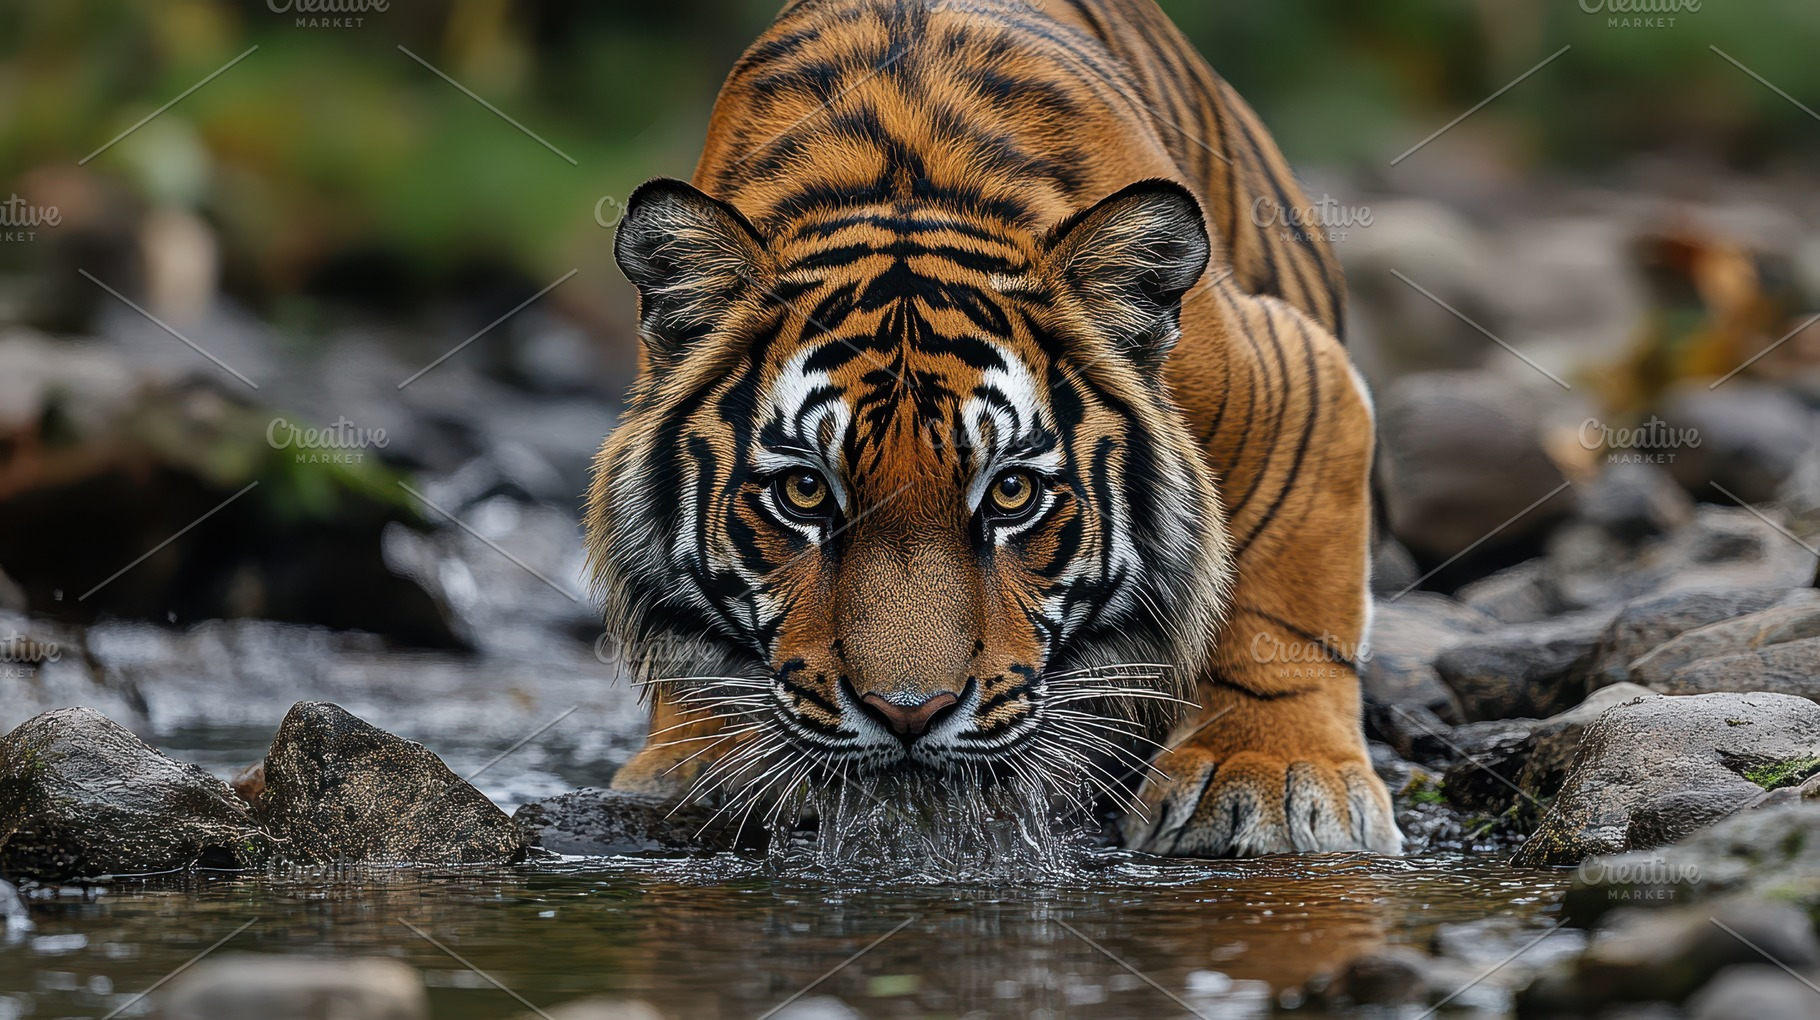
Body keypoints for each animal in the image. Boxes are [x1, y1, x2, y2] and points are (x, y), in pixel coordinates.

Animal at [586, 0, 1402, 857]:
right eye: (805, 491)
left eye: (1012, 493)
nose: (908, 711)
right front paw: (707, 762)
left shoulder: (1300, 382)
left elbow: (1283, 615)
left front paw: (1269, 778)